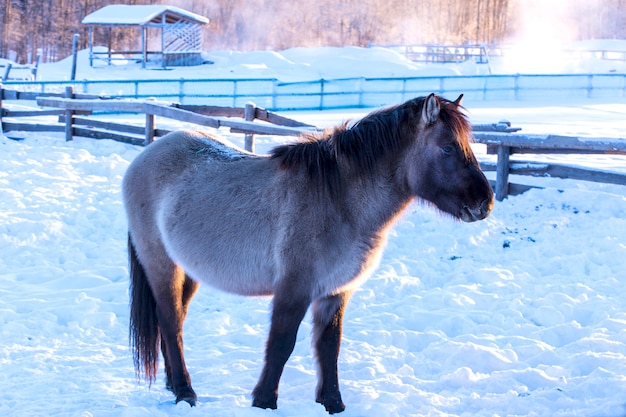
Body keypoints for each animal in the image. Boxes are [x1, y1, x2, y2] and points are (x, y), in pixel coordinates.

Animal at [122, 92, 492, 412]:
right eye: (448, 148)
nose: (484, 204)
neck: (340, 200)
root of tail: (145, 156)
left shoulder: (335, 292)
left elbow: (329, 347)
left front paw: (333, 404)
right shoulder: (294, 289)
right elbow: (281, 345)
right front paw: (264, 402)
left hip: (189, 271)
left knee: (175, 321)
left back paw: (174, 385)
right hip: (162, 265)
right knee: (171, 322)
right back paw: (185, 392)